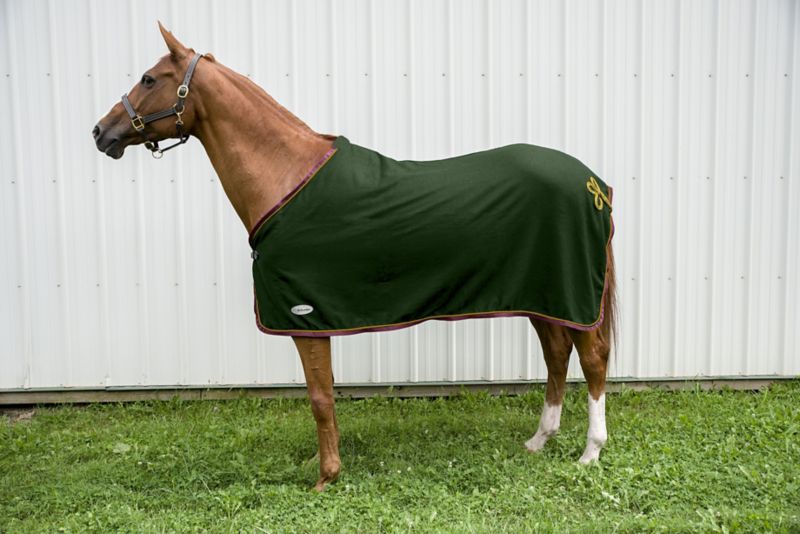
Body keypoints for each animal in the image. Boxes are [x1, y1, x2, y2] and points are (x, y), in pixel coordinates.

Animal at [94, 25, 620, 494]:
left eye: (149, 79)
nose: (101, 132)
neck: (286, 177)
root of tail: (594, 185)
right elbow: (325, 393)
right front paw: (322, 462)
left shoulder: (304, 316)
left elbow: (319, 397)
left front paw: (326, 477)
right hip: (544, 293)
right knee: (556, 355)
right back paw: (539, 440)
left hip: (571, 293)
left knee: (592, 359)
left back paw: (591, 452)